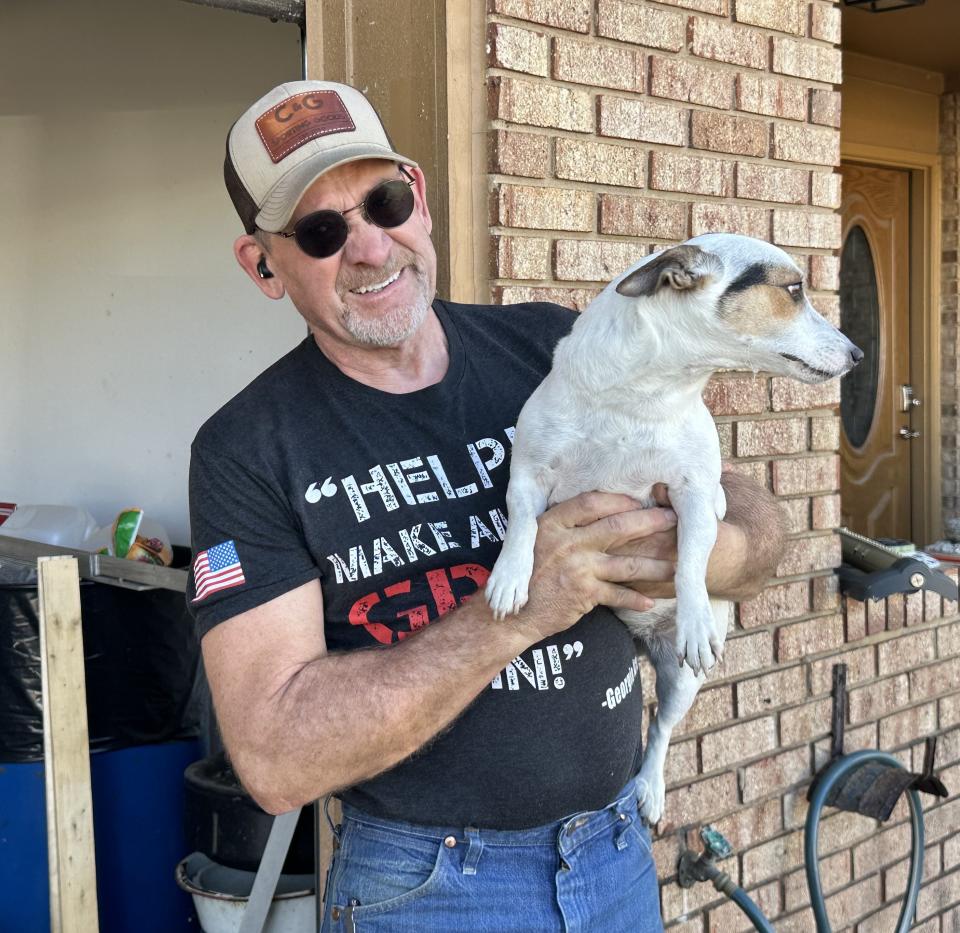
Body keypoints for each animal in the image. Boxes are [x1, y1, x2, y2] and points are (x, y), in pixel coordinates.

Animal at [488, 233, 864, 824]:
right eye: (794, 290)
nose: (858, 355)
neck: (645, 395)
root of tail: (642, 642)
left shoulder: (697, 497)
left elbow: (689, 561)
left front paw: (693, 618)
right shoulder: (529, 471)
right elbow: (522, 522)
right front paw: (509, 578)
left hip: (683, 683)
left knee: (661, 729)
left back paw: (650, 788)